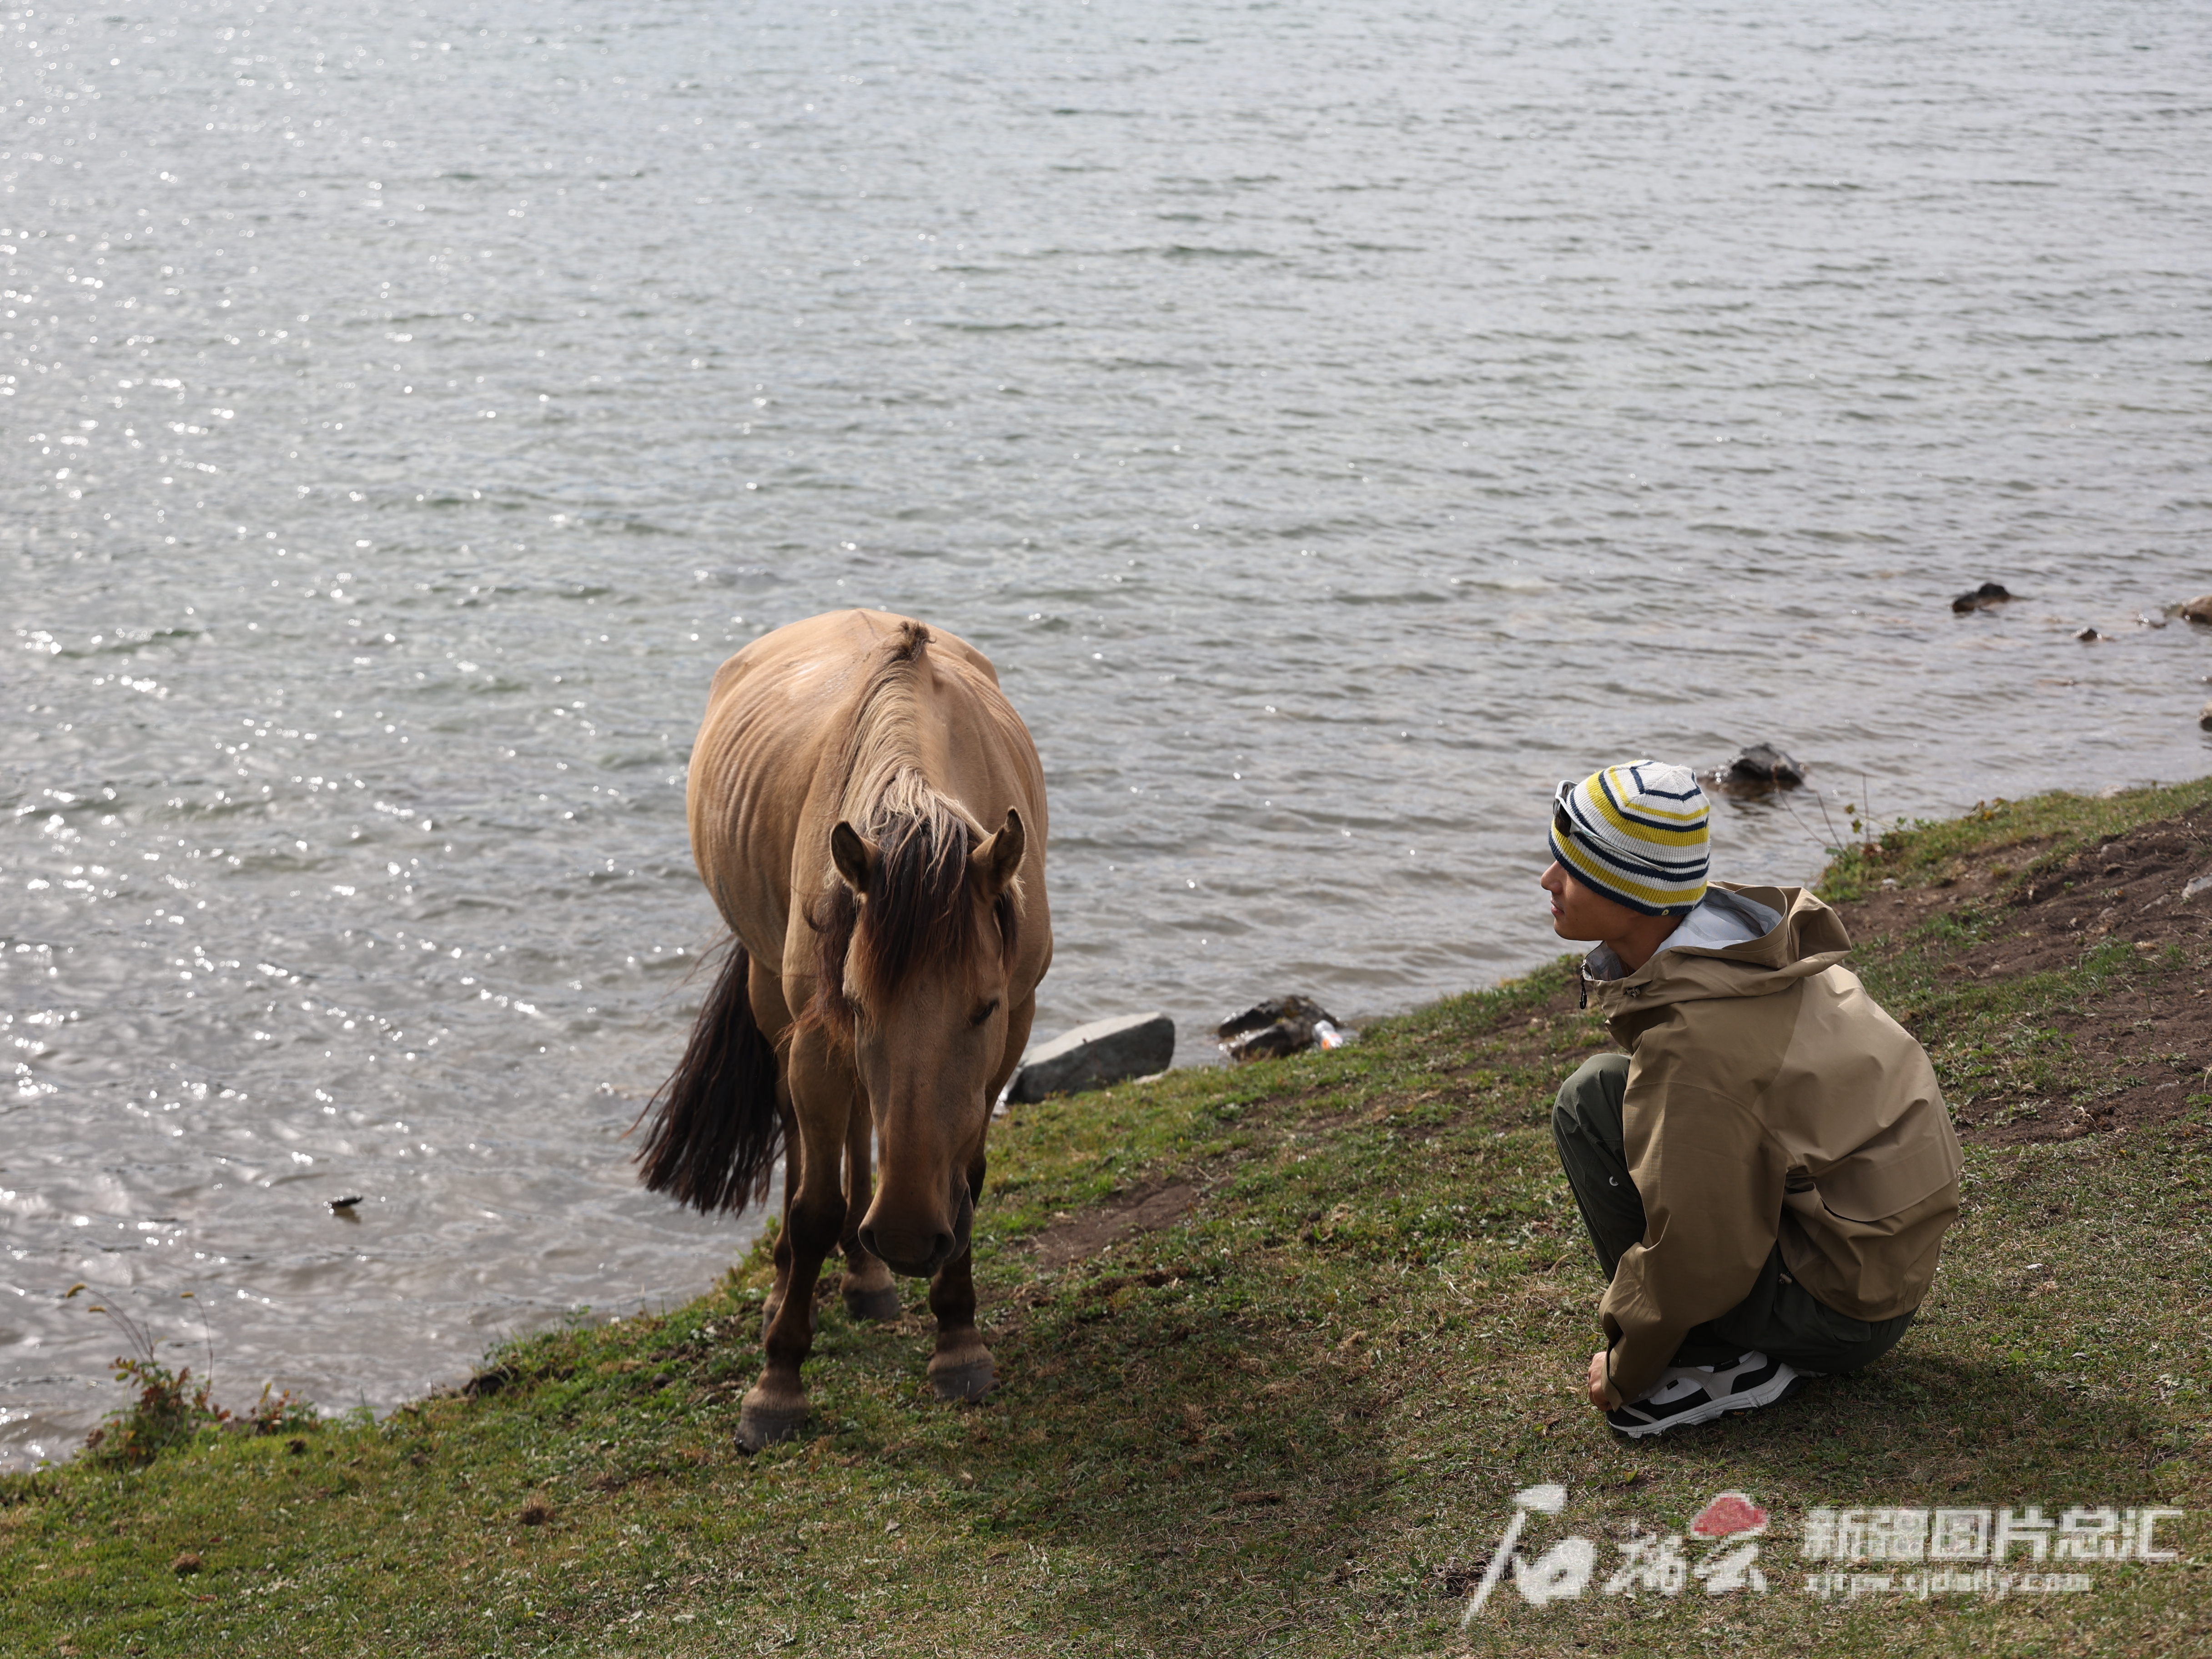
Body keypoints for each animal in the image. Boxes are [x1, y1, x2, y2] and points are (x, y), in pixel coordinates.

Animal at [641, 610, 1053, 1451]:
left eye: (985, 1008)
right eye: (859, 1004)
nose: (904, 1236)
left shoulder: (1014, 1033)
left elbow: (966, 1178)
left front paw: (958, 1340)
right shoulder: (821, 1035)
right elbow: (813, 1209)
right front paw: (777, 1386)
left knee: (866, 1120)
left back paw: (867, 1279)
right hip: (775, 999)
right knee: (800, 1130)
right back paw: (793, 1284)